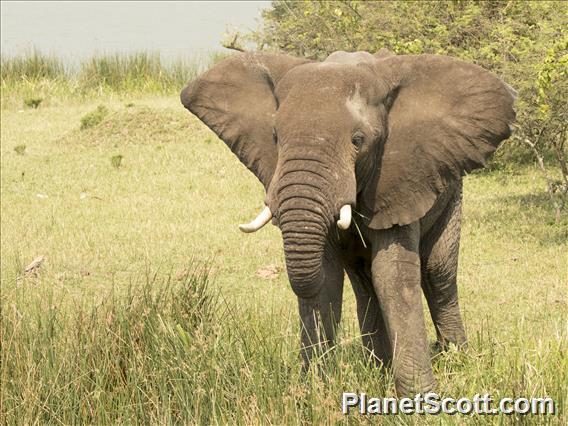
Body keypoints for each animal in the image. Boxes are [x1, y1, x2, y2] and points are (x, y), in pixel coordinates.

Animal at [181, 50, 516, 396]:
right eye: (275, 137)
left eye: (358, 140)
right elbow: (329, 276)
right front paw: (313, 391)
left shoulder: (399, 177)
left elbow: (392, 274)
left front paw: (419, 398)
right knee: (363, 279)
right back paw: (378, 366)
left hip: (450, 189)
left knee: (437, 272)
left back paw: (455, 357)